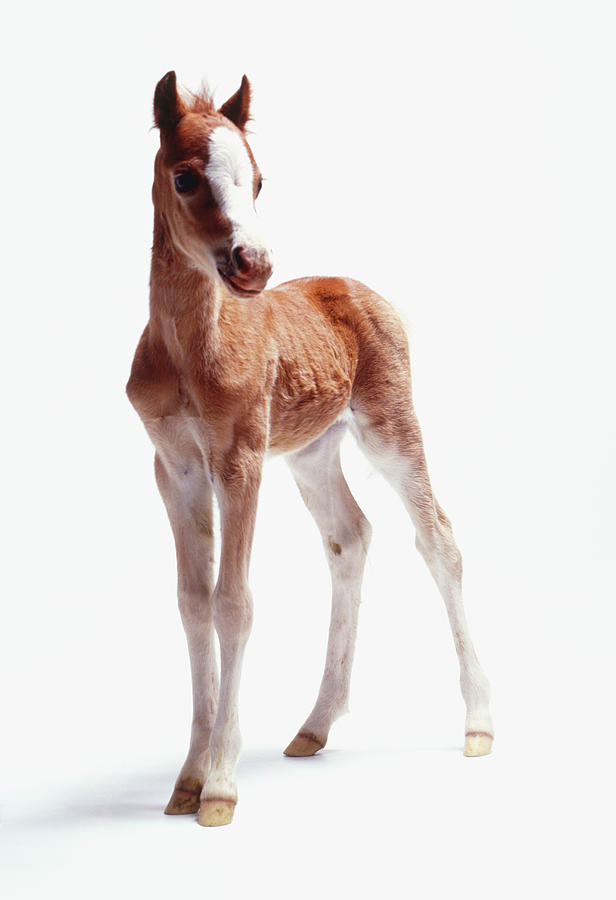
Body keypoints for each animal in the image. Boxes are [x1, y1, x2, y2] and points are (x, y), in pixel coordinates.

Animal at [126, 71, 494, 826]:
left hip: (390, 428)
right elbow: (192, 602)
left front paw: (221, 785)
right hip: (313, 452)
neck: (188, 351)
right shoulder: (174, 467)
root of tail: (356, 288)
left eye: (259, 180)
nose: (254, 264)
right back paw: (316, 724)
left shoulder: (238, 460)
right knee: (351, 536)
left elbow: (233, 602)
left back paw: (477, 722)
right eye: (185, 177)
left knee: (438, 539)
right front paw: (187, 778)